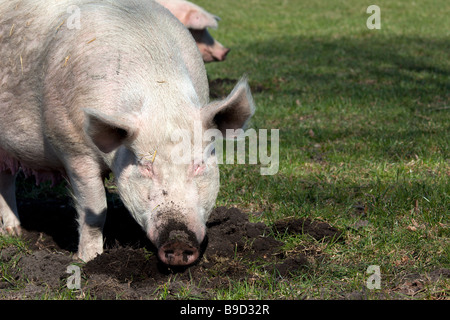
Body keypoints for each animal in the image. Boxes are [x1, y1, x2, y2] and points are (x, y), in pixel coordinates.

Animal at [0, 0, 253, 264]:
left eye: (199, 165)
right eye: (145, 166)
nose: (178, 241)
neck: (160, 96)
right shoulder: (73, 148)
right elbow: (95, 211)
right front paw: (88, 260)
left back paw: (13, 232)